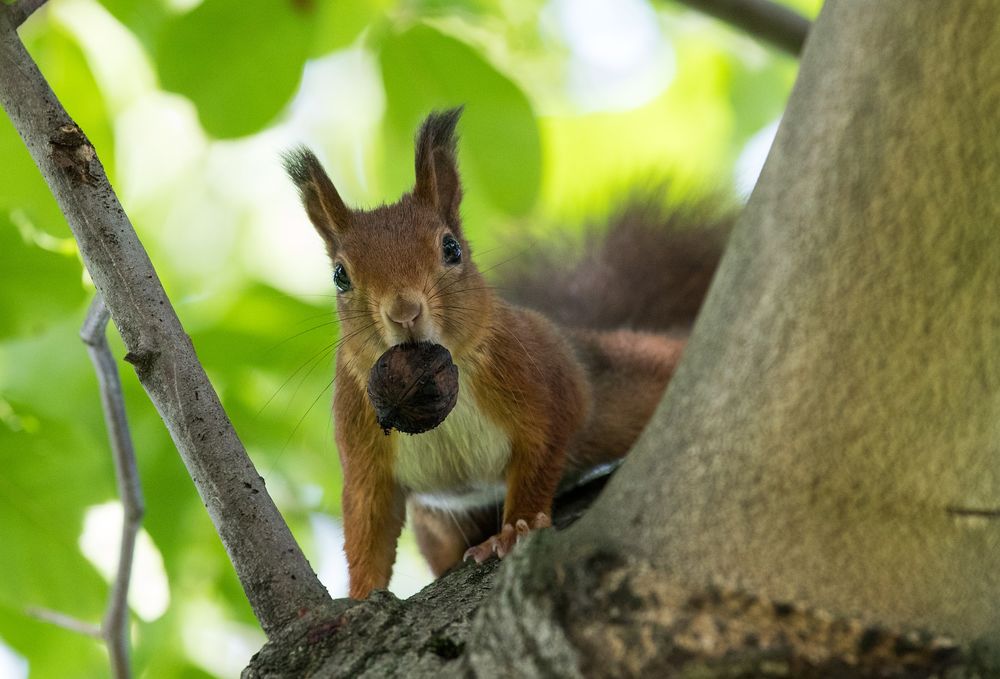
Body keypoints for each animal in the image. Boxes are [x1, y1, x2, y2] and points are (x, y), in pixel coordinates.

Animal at [286, 109, 724, 596]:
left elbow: (541, 452)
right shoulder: (362, 442)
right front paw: (360, 594)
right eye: (340, 276)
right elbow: (367, 521)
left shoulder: (541, 382)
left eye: (451, 248)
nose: (404, 312)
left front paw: (515, 530)